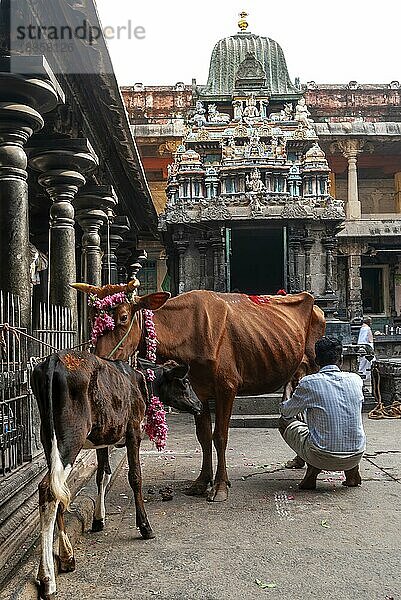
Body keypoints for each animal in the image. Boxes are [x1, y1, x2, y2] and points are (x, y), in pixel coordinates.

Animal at [74, 284, 324, 504]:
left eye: (124, 317)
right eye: (93, 318)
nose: (98, 361)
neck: (185, 331)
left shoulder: (227, 387)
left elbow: (220, 436)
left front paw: (220, 486)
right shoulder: (199, 392)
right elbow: (203, 436)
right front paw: (202, 482)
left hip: (314, 367)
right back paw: (298, 461)